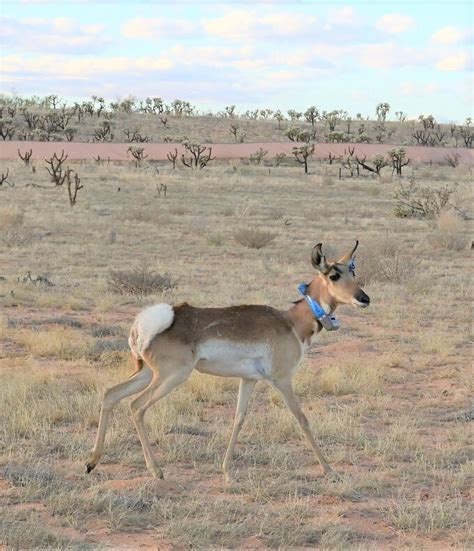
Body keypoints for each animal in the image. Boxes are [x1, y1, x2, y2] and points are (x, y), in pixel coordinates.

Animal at [88, 242, 370, 478]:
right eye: (334, 275)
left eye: (353, 271)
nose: (364, 298)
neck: (290, 322)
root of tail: (147, 323)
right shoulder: (282, 379)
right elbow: (302, 418)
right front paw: (330, 470)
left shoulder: (249, 380)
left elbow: (239, 417)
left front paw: (225, 468)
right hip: (171, 377)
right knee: (136, 406)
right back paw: (156, 470)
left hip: (147, 373)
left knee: (111, 394)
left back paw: (92, 462)